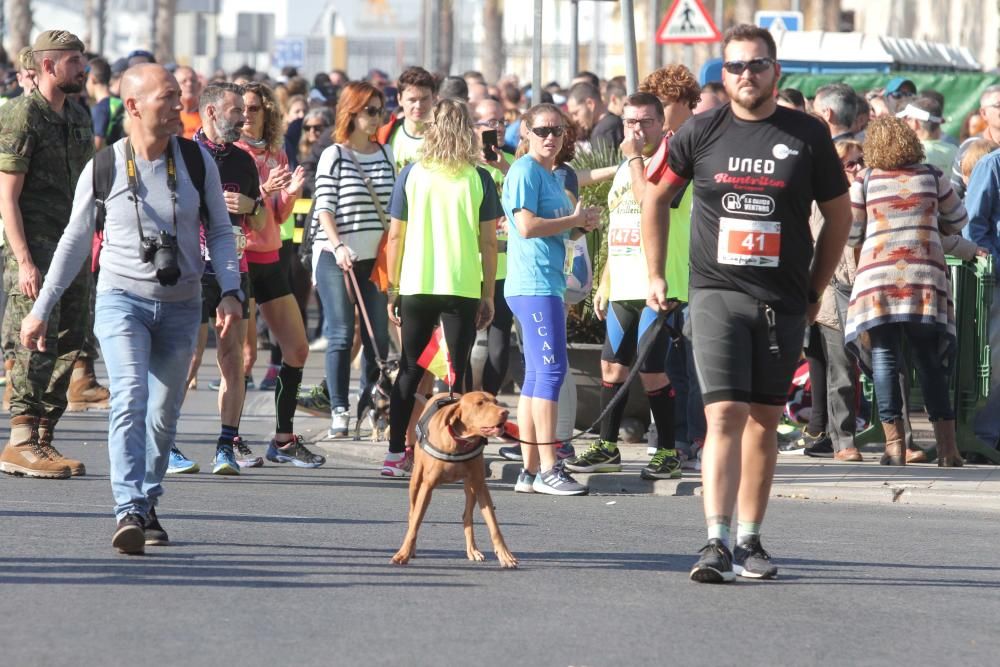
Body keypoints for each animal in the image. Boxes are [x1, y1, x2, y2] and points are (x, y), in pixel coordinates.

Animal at [390, 392, 520, 568]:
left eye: (496, 401)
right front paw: (403, 554)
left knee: (467, 516)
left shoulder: (480, 486)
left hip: (471, 487)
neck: (461, 441)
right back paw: (412, 548)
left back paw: (473, 550)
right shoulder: (427, 487)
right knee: (412, 513)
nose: (505, 413)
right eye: (480, 403)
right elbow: (416, 522)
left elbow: (494, 526)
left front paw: (505, 555)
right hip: (416, 480)